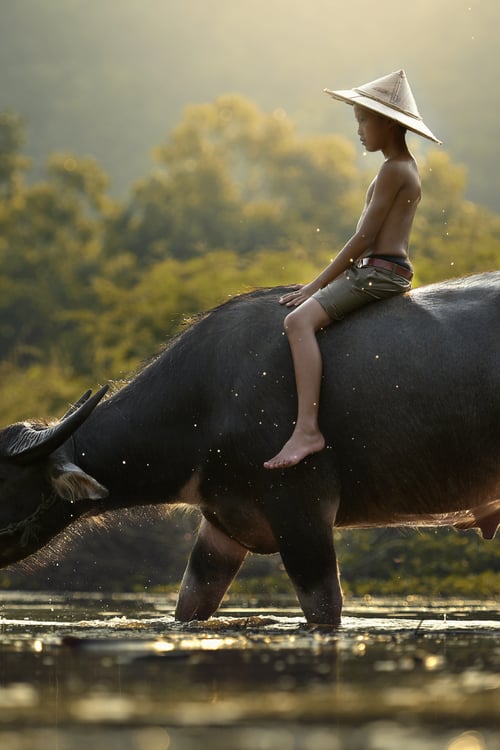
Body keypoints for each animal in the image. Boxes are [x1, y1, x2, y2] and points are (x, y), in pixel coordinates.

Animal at [0, 272, 499, 626]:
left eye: (4, 482)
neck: (209, 404)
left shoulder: (303, 513)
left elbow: (324, 610)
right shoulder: (223, 525)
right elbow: (189, 607)